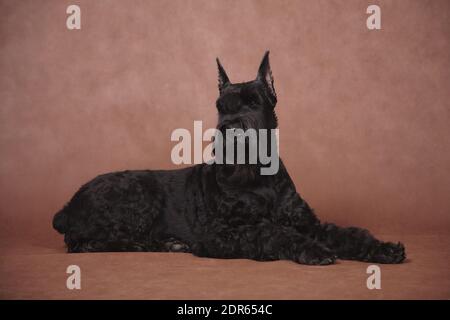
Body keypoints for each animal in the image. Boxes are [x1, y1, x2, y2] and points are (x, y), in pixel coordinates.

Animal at [52, 52, 404, 264]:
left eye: (253, 102)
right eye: (220, 107)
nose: (226, 130)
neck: (259, 178)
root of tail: (67, 205)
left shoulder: (307, 222)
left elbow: (345, 232)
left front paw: (382, 248)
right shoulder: (223, 232)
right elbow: (272, 231)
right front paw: (314, 249)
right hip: (138, 196)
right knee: (85, 242)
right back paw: (151, 244)